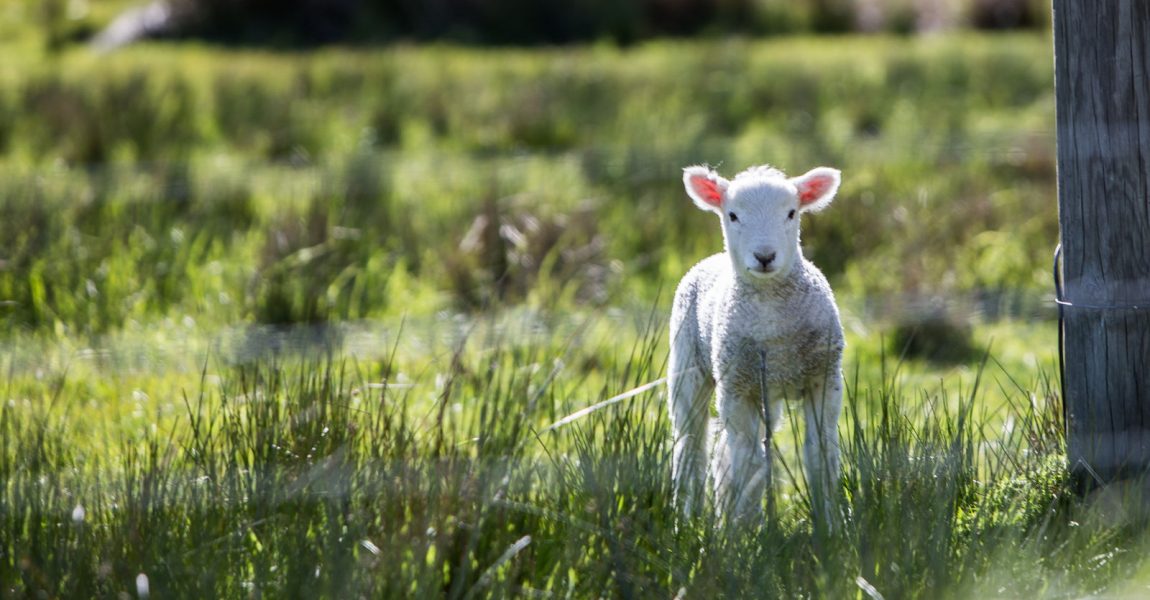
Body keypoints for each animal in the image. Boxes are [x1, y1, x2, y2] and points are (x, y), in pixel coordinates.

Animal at [668, 163, 845, 524]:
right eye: (733, 215)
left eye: (791, 213)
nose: (764, 256)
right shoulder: (737, 388)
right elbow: (748, 462)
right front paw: (744, 528)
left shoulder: (824, 378)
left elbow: (820, 453)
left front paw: (830, 524)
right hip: (688, 366)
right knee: (690, 445)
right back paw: (687, 518)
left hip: (766, 391)